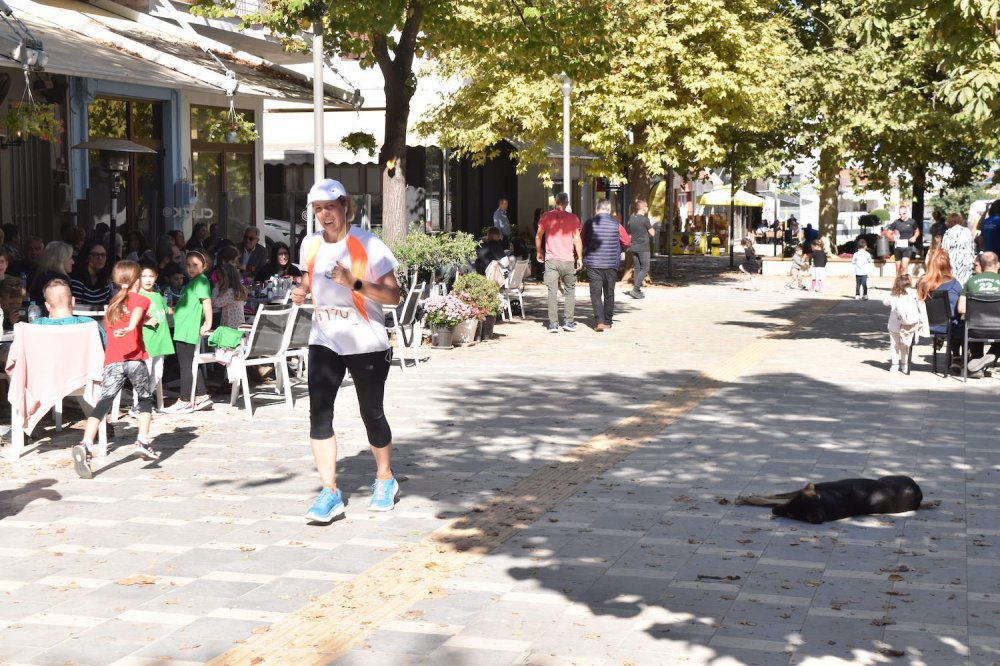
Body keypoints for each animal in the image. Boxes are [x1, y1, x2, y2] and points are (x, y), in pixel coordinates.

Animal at [736, 472, 920, 524]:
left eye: (792, 515)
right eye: (791, 506)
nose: (774, 512)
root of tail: (919, 493)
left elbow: (772, 499)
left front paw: (748, 499)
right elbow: (776, 496)